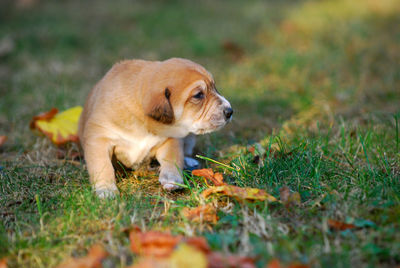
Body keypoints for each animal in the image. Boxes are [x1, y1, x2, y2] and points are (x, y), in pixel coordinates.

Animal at [78, 57, 233, 198]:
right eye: (198, 95)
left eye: (214, 87)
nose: (230, 111)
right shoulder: (99, 138)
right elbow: (103, 166)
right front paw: (106, 190)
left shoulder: (171, 139)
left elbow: (173, 158)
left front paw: (172, 179)